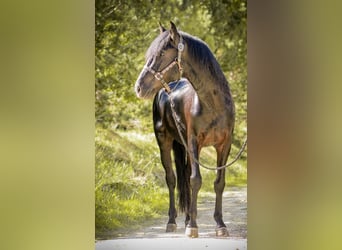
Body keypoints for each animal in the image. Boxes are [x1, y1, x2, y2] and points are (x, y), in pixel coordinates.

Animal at [134, 22, 235, 238]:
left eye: (161, 54)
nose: (138, 88)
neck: (213, 105)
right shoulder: (194, 141)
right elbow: (195, 180)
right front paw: (193, 227)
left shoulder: (224, 145)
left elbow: (219, 183)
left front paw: (220, 224)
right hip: (164, 141)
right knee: (172, 179)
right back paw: (172, 221)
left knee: (185, 177)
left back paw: (188, 218)